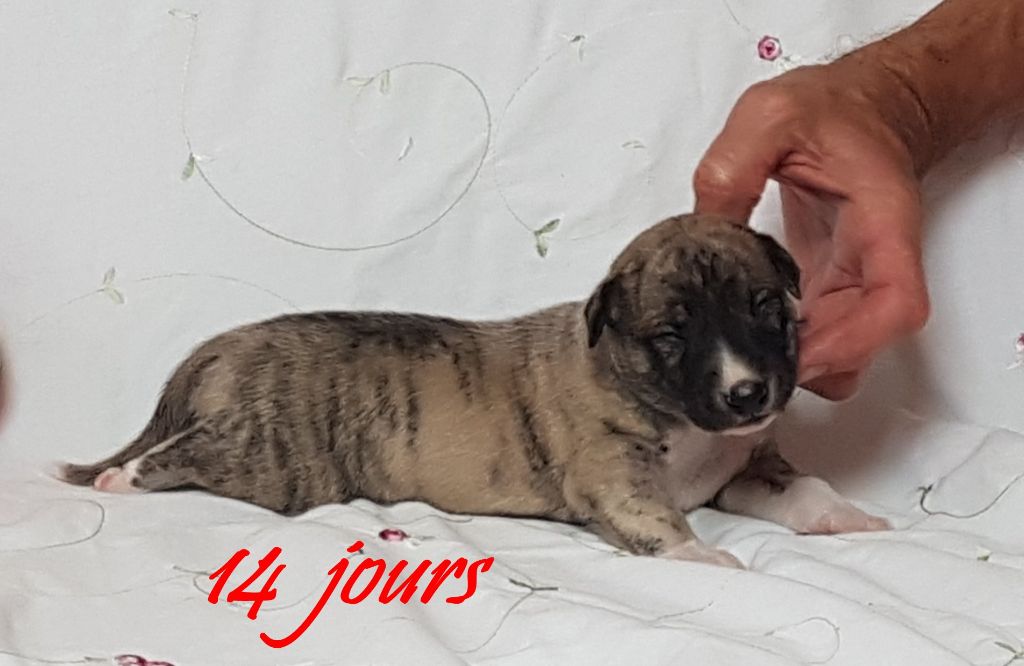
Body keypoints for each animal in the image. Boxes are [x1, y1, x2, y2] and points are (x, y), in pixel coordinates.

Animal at [60, 213, 888, 568]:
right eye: (670, 337)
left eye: (767, 308)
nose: (750, 395)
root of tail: (220, 350)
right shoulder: (615, 475)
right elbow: (658, 523)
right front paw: (709, 560)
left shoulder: (739, 467)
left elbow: (799, 485)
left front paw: (845, 516)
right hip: (269, 458)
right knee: (182, 451)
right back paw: (121, 475)